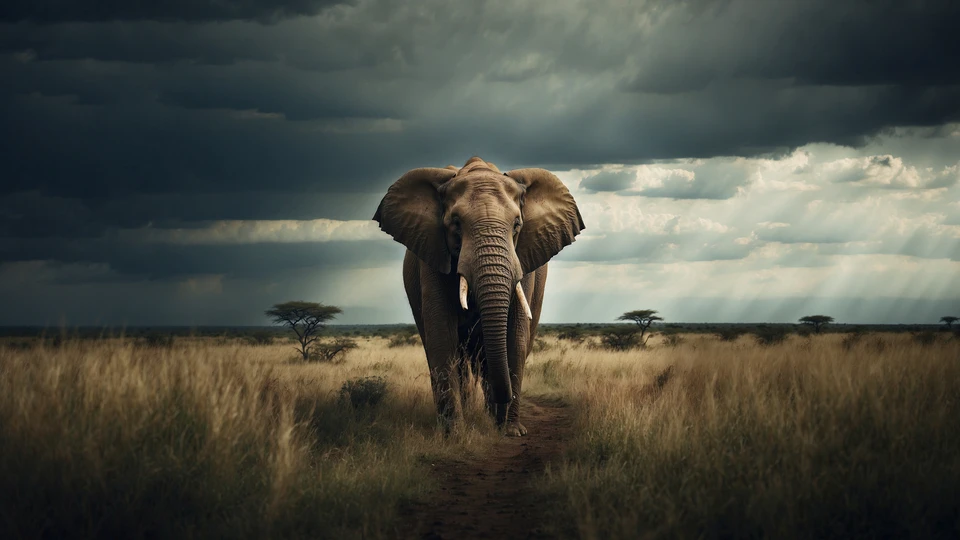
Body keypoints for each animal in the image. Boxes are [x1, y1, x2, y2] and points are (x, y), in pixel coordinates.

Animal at [373, 157, 584, 436]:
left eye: (517, 225)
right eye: (456, 224)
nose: (502, 404)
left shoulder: (524, 259)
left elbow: (515, 338)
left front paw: (511, 431)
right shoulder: (432, 256)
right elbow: (442, 336)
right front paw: (455, 435)